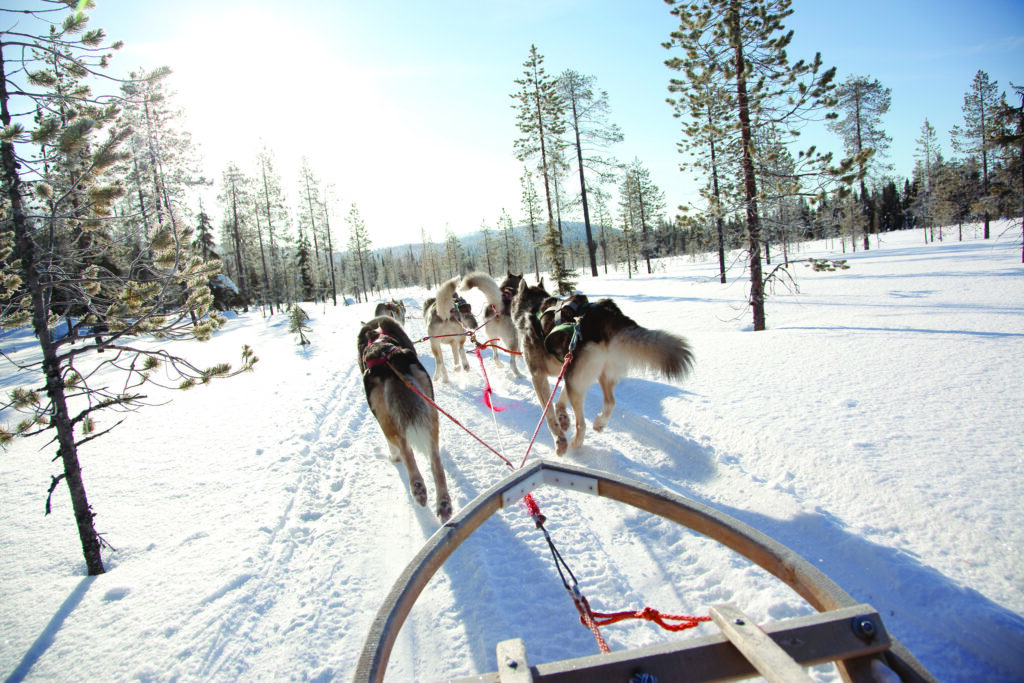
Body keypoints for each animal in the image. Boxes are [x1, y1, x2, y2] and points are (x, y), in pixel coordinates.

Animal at [358, 317, 450, 520]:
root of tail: (388, 360)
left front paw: (394, 457)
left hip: (385, 417)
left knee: (403, 445)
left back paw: (417, 486)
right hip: (430, 407)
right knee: (435, 460)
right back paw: (443, 503)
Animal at [512, 278, 696, 458]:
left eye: (512, 299)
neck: (533, 308)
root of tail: (607, 314)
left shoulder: (539, 376)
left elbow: (549, 414)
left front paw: (559, 438)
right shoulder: (567, 369)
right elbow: (560, 400)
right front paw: (563, 415)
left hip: (576, 380)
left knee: (582, 424)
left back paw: (575, 443)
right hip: (597, 374)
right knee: (610, 402)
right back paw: (599, 422)